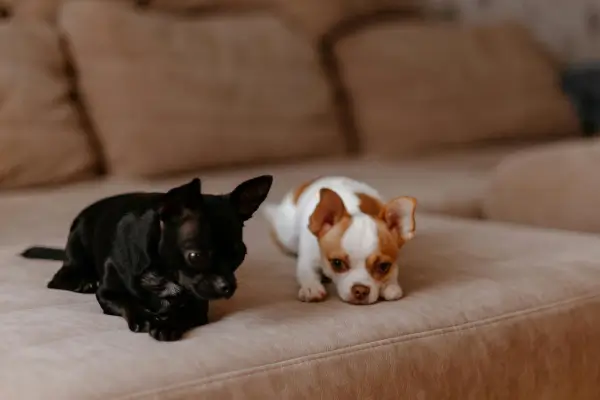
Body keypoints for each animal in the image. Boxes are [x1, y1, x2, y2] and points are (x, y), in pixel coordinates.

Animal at [21, 177, 274, 342]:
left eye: (239, 255)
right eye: (196, 256)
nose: (228, 286)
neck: (164, 272)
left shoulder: (199, 304)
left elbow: (183, 311)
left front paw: (167, 324)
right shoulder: (107, 294)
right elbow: (128, 302)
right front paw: (146, 318)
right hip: (77, 248)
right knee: (59, 279)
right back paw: (83, 282)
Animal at [264, 177, 418, 304]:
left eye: (384, 266)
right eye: (337, 263)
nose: (360, 290)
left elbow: (394, 272)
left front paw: (390, 286)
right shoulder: (308, 257)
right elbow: (306, 271)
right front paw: (311, 287)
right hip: (287, 236)